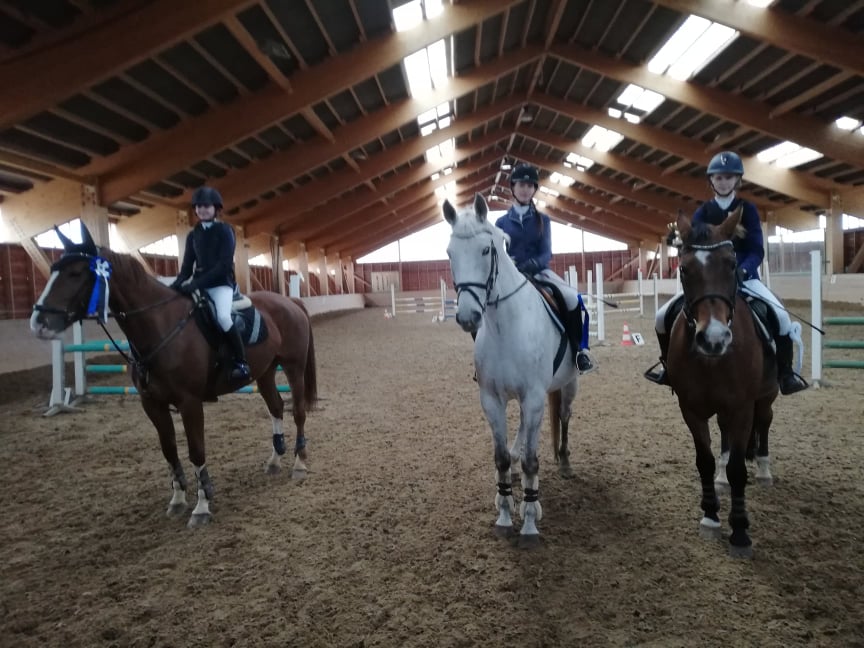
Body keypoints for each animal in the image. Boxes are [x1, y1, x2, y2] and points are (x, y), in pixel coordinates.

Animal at [30, 221, 317, 528]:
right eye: (53, 270)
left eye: (76, 273)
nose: (39, 323)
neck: (160, 326)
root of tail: (290, 302)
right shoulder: (152, 404)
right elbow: (169, 450)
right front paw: (178, 499)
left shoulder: (190, 403)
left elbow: (196, 450)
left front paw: (201, 507)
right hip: (264, 372)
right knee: (276, 406)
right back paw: (274, 460)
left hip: (293, 367)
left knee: (298, 412)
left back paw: (299, 463)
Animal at [443, 193, 580, 547]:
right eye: (450, 253)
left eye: (486, 250)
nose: (467, 317)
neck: (506, 326)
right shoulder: (492, 399)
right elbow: (501, 457)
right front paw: (504, 515)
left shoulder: (533, 397)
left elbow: (533, 461)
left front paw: (530, 522)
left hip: (570, 384)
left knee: (564, 417)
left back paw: (564, 460)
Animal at [668, 205, 777, 558]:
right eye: (684, 269)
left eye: (731, 265)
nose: (713, 339)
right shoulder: (691, 409)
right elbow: (705, 461)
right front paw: (711, 517)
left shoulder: (742, 407)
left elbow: (739, 470)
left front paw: (740, 532)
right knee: (726, 435)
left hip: (766, 396)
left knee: (765, 422)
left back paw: (764, 470)